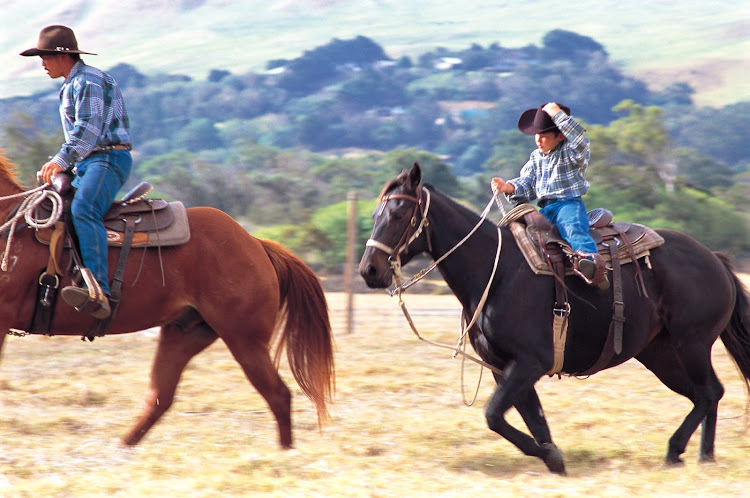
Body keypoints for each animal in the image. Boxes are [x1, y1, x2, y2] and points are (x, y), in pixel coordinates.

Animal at [0, 150, 334, 450]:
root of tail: (256, 243)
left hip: (244, 339)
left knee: (278, 395)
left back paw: (286, 455)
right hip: (185, 333)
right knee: (160, 397)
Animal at [358, 163, 750, 474]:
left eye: (397, 215)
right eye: (376, 215)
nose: (369, 270)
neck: (496, 272)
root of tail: (715, 259)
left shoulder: (530, 362)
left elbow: (493, 415)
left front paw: (550, 456)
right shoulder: (505, 367)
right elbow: (531, 420)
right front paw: (554, 459)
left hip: (692, 343)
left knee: (710, 391)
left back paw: (679, 450)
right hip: (660, 354)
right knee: (704, 394)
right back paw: (702, 456)